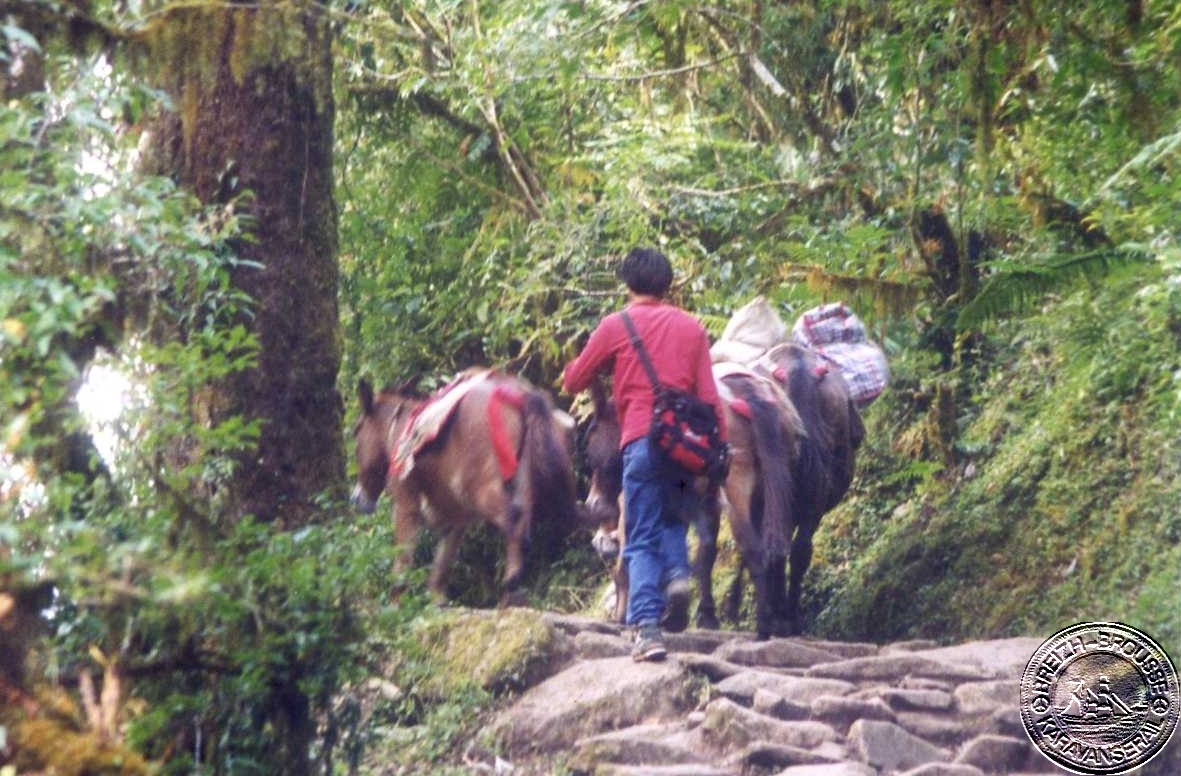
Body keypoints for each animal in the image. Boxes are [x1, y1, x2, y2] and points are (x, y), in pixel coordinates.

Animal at [351, 368, 578, 604]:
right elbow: (443, 561)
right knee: (522, 525)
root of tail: (519, 393)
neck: (397, 431)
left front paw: (398, 604)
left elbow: (403, 561)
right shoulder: (456, 517)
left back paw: (511, 583)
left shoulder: (405, 506)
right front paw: (437, 600)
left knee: (513, 519)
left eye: (356, 432)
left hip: (480, 489)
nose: (357, 499)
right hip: (521, 482)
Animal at [581, 366, 803, 637]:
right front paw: (698, 615)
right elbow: (700, 556)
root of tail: (750, 394)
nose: (594, 506)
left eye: (590, 450)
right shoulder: (697, 504)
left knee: (753, 549)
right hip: (766, 494)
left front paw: (624, 615)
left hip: (737, 490)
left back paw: (763, 625)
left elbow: (628, 560)